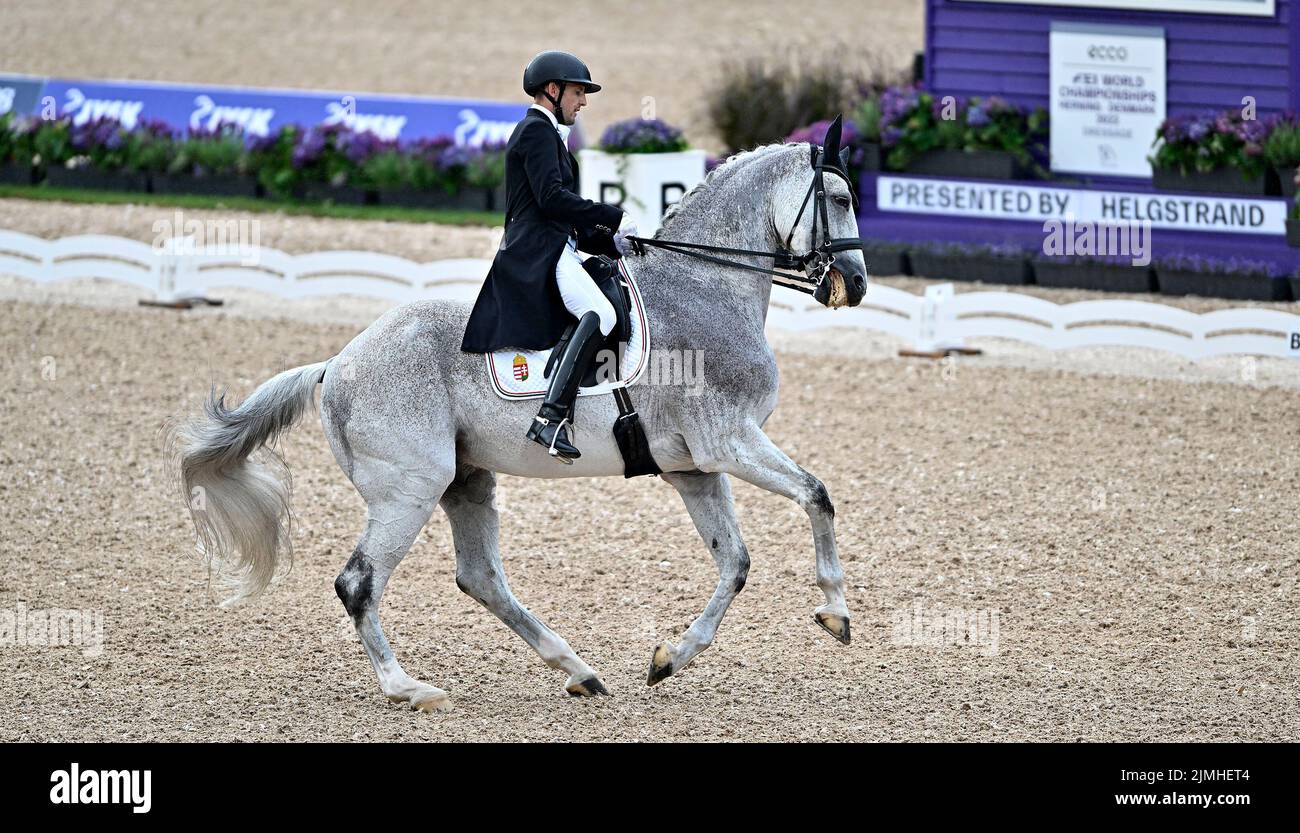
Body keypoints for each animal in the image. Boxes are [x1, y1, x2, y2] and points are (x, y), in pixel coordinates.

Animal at [172, 137, 863, 706]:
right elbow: (817, 495)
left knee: (480, 577)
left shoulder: (694, 467)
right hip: (410, 489)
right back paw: (408, 688)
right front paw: (835, 611)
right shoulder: (729, 441)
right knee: (359, 582)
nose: (853, 285)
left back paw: (578, 671)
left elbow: (735, 562)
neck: (704, 288)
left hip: (465, 480)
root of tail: (338, 363)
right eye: (839, 198)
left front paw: (671, 656)